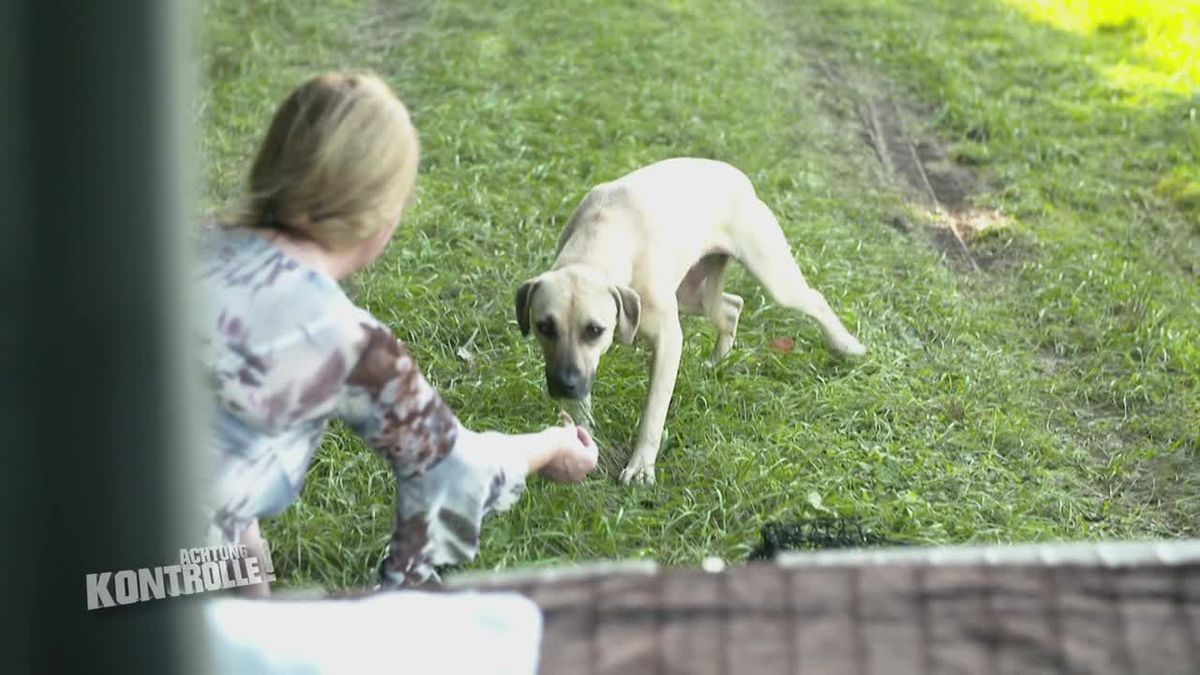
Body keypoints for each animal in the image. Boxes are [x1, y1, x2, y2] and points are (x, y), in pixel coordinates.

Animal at [513, 156, 864, 482]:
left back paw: (846, 345)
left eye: (595, 330)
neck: (600, 239)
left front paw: (641, 466)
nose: (564, 384)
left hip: (774, 279)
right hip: (693, 295)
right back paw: (718, 362)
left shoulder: (668, 342)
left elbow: (653, 414)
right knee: (731, 307)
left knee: (813, 300)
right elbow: (584, 402)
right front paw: (581, 434)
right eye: (545, 328)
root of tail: (736, 175)